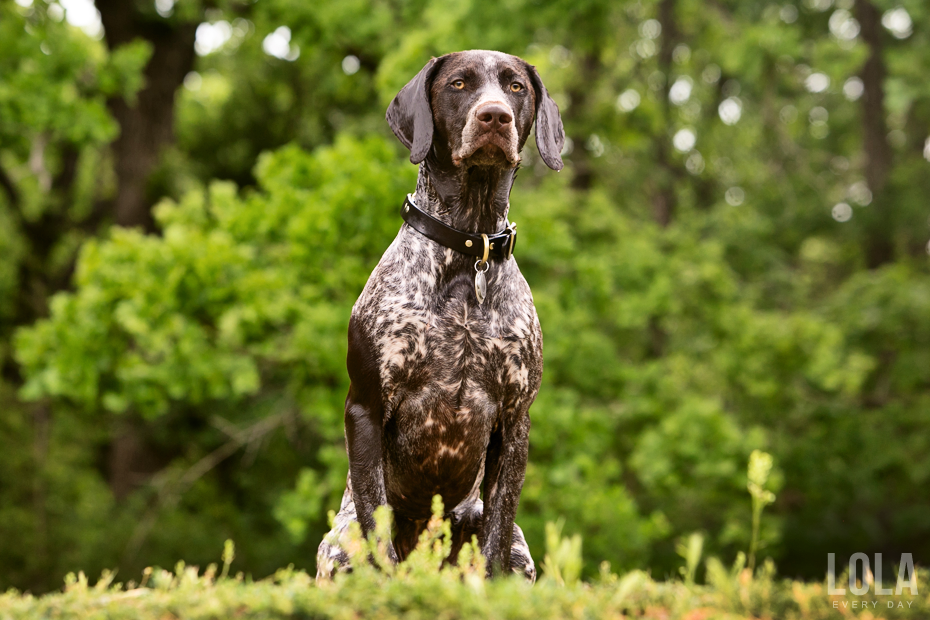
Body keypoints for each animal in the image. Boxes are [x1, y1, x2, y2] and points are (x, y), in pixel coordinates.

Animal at [316, 48, 560, 580]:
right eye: (459, 84)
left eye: (515, 87)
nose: (495, 117)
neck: (470, 252)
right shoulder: (365, 408)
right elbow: (376, 526)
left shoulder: (515, 423)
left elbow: (493, 543)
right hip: (338, 547)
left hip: (520, 549)